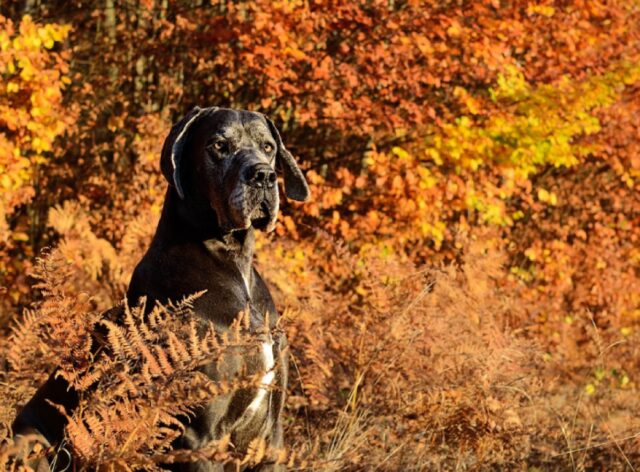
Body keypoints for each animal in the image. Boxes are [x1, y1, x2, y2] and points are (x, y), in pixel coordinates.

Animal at [11, 105, 308, 470]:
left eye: (268, 147)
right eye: (219, 145)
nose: (264, 176)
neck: (233, 264)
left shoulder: (271, 437)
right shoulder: (199, 437)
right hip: (31, 440)